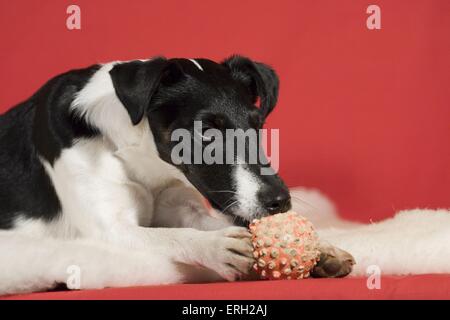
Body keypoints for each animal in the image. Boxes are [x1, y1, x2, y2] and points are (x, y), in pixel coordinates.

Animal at [0, 55, 354, 296]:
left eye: (258, 125)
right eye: (207, 131)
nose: (280, 202)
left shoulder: (181, 206)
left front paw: (322, 248)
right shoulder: (105, 233)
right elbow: (169, 235)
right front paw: (214, 246)